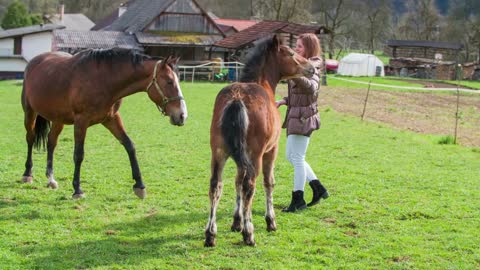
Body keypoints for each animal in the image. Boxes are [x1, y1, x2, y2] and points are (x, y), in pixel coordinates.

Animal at [22, 48, 188, 198]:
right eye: (169, 81)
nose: (182, 115)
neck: (104, 80)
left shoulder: (111, 118)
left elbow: (130, 146)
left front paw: (139, 185)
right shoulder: (81, 121)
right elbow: (79, 154)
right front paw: (77, 190)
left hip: (58, 119)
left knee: (51, 142)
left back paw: (51, 179)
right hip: (30, 112)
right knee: (30, 139)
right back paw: (27, 174)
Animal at [205, 34, 316, 246]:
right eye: (291, 53)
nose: (312, 67)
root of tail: (237, 98)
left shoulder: (240, 157)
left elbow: (236, 181)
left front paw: (236, 222)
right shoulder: (271, 151)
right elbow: (268, 182)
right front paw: (270, 221)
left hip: (218, 152)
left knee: (216, 185)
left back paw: (210, 234)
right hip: (255, 155)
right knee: (250, 185)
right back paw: (249, 233)